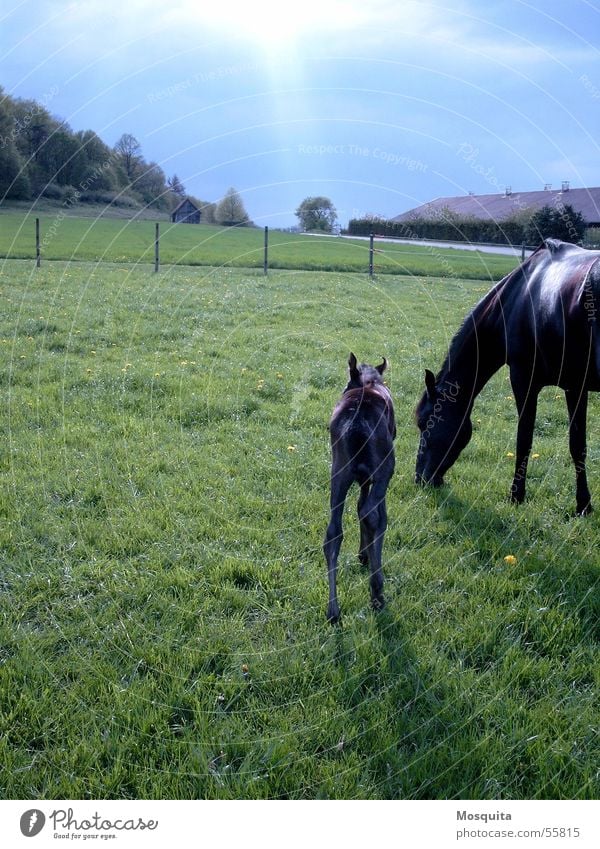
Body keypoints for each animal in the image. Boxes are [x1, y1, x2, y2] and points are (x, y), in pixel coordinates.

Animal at [326, 352, 396, 624]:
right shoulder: (378, 473)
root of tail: (355, 427)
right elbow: (374, 513)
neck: (368, 381)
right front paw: (366, 555)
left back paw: (333, 611)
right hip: (386, 466)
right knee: (374, 514)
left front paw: (362, 553)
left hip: (339, 471)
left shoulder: (362, 477)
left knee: (333, 532)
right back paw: (377, 591)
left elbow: (357, 507)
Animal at [414, 240, 600, 516]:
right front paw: (583, 505)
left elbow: (524, 439)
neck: (518, 296)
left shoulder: (523, 379)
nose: (421, 479)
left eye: (425, 422)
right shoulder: (575, 386)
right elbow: (578, 446)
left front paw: (516, 496)